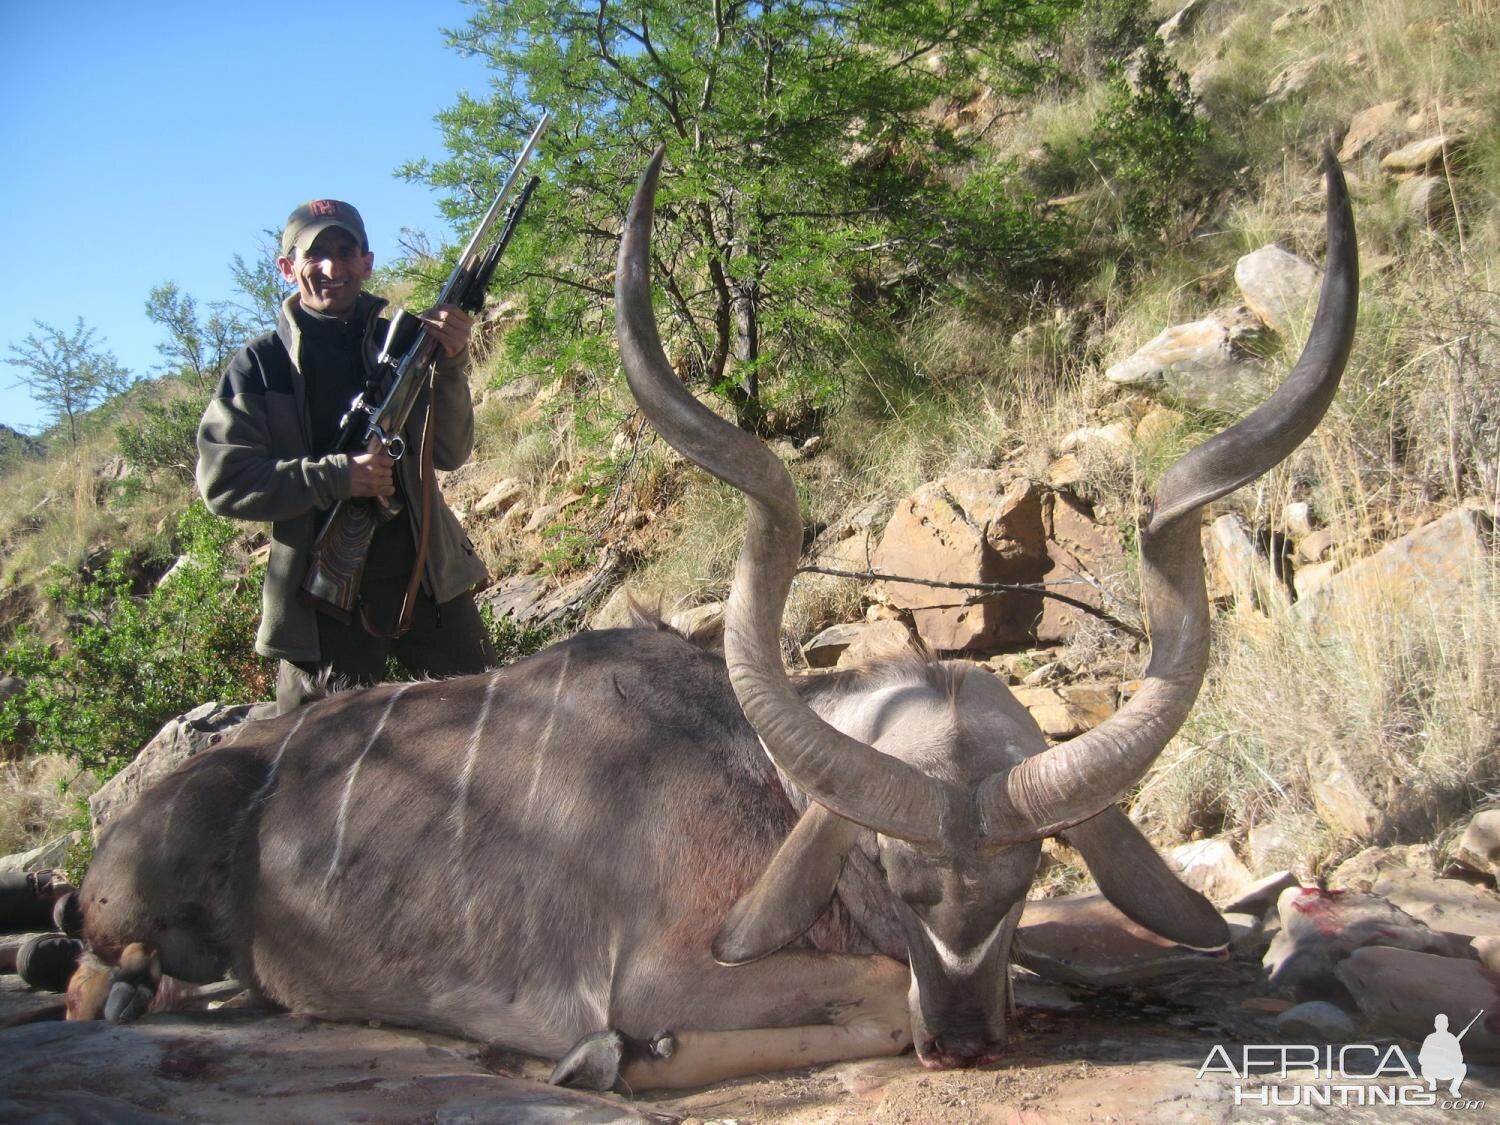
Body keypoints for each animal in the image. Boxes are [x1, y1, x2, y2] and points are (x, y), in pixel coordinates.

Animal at [73, 150, 1362, 1092]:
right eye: (893, 877)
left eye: (1025, 876)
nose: (961, 1040)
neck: (758, 782)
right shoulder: (663, 973)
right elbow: (857, 1000)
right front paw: (612, 1059)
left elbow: (1034, 966)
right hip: (128, 918)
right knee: (96, 981)